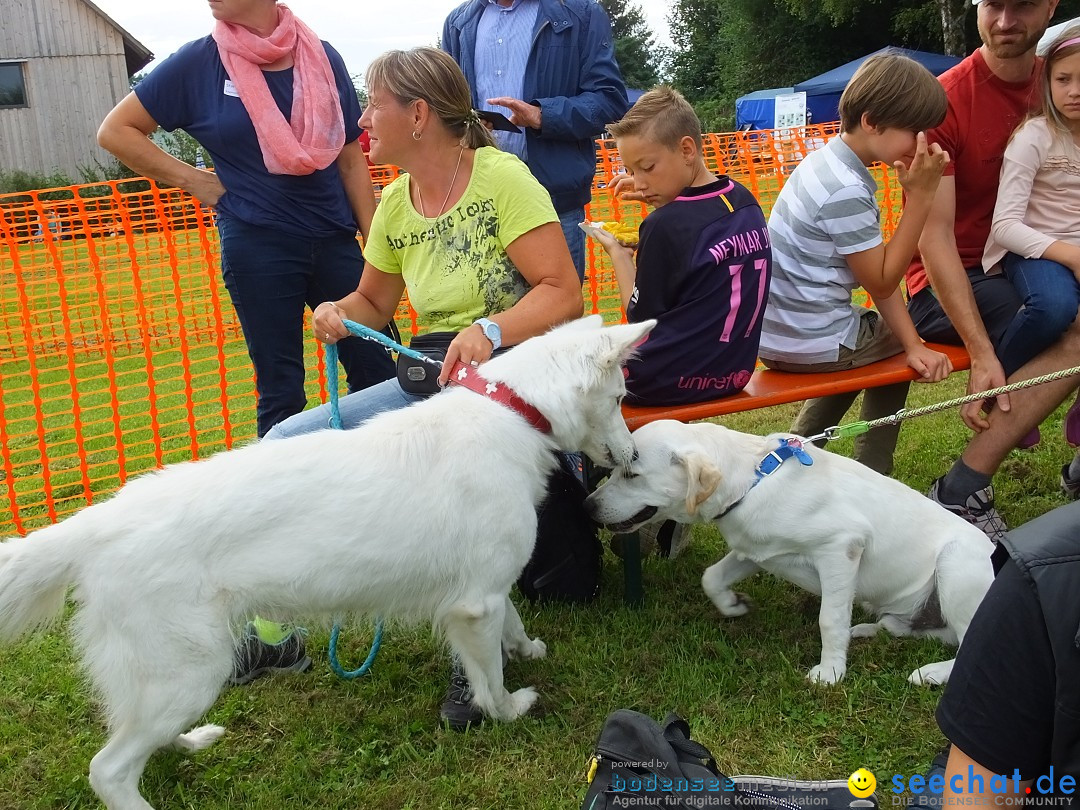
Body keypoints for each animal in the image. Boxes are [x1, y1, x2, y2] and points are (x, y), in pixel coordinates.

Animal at [0, 315, 652, 810]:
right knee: (108, 769)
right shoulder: (475, 606)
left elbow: (510, 627)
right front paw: (510, 710)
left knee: (134, 737)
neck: (512, 413)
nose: (634, 456)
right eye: (622, 398)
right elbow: (488, 679)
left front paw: (526, 650)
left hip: (172, 680)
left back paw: (187, 743)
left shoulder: (486, 591)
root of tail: (96, 523)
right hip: (187, 671)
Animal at [587, 421, 989, 686]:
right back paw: (869, 630)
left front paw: (831, 672)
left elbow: (829, 619)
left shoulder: (841, 548)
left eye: (631, 474)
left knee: (967, 643)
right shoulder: (754, 549)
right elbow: (711, 577)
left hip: (955, 564)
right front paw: (733, 606)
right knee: (917, 630)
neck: (753, 479)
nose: (587, 505)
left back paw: (931, 673)